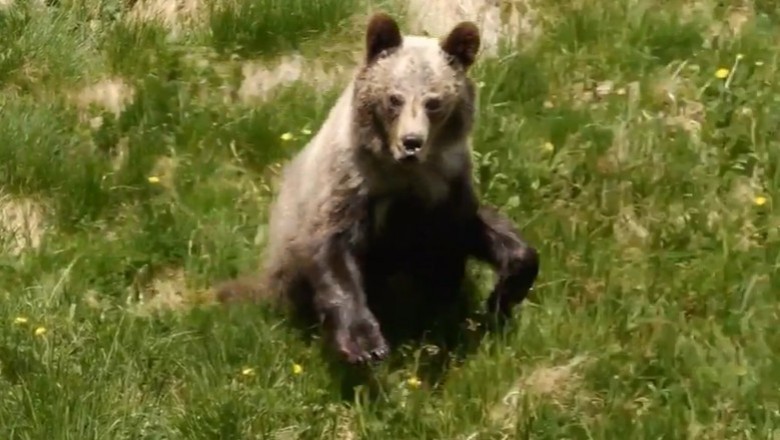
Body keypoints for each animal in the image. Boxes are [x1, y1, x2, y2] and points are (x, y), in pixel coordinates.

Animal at [216, 12, 540, 364]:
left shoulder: (447, 187)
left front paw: (503, 293)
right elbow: (333, 246)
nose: (411, 142)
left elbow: (476, 232)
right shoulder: (351, 185)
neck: (404, 173)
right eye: (394, 98)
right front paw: (364, 343)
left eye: (434, 102)